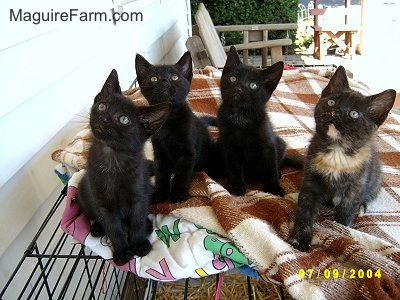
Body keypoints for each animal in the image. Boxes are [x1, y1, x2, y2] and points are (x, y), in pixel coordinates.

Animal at [78, 68, 170, 264]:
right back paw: (97, 228)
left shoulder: (139, 197)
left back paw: (148, 226)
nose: (103, 119)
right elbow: (114, 229)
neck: (112, 160)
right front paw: (121, 251)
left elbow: (136, 222)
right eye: (102, 107)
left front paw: (139, 244)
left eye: (124, 120)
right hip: (83, 192)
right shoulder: (103, 205)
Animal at [134, 52, 216, 204]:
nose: (165, 82)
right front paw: (159, 193)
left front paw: (177, 193)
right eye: (154, 78)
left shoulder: (187, 154)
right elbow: (161, 175)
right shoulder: (160, 154)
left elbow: (181, 175)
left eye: (175, 77)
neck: (169, 120)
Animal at [217, 46, 298, 197]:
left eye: (253, 85)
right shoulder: (229, 146)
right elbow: (234, 167)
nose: (238, 88)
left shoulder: (268, 145)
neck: (241, 117)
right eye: (233, 78)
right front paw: (236, 186)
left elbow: (270, 167)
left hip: (280, 143)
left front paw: (273, 187)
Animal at [288, 65, 396, 251]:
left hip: (375, 180)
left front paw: (340, 233)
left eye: (354, 114)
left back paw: (362, 207)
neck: (337, 152)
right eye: (331, 102)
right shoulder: (311, 180)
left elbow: (346, 212)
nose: (336, 112)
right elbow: (305, 210)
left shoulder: (355, 187)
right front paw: (299, 238)